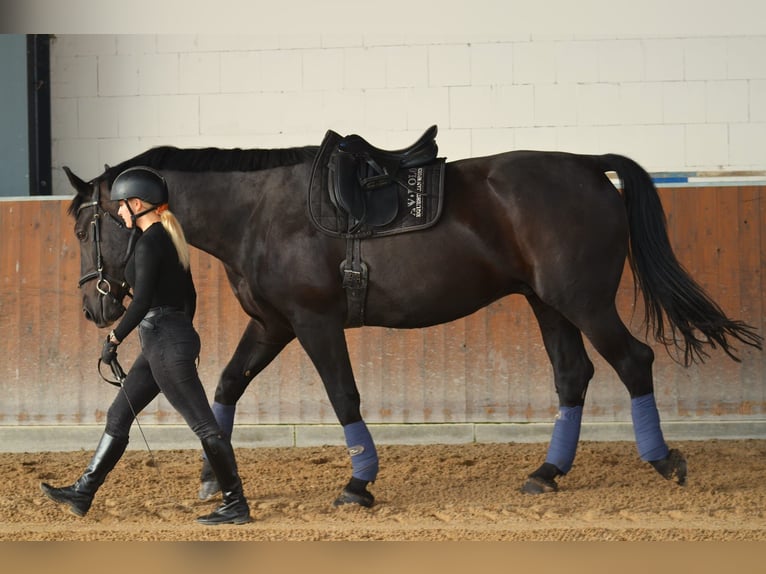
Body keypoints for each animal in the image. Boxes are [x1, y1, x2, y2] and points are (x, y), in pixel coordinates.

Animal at [66, 132, 760, 508]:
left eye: (83, 227)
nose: (96, 307)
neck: (259, 212)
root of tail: (588, 164)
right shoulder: (273, 324)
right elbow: (227, 386)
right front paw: (214, 477)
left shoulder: (314, 323)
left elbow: (344, 396)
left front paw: (358, 484)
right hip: (549, 304)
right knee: (573, 377)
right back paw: (546, 473)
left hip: (583, 301)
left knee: (632, 361)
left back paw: (663, 460)